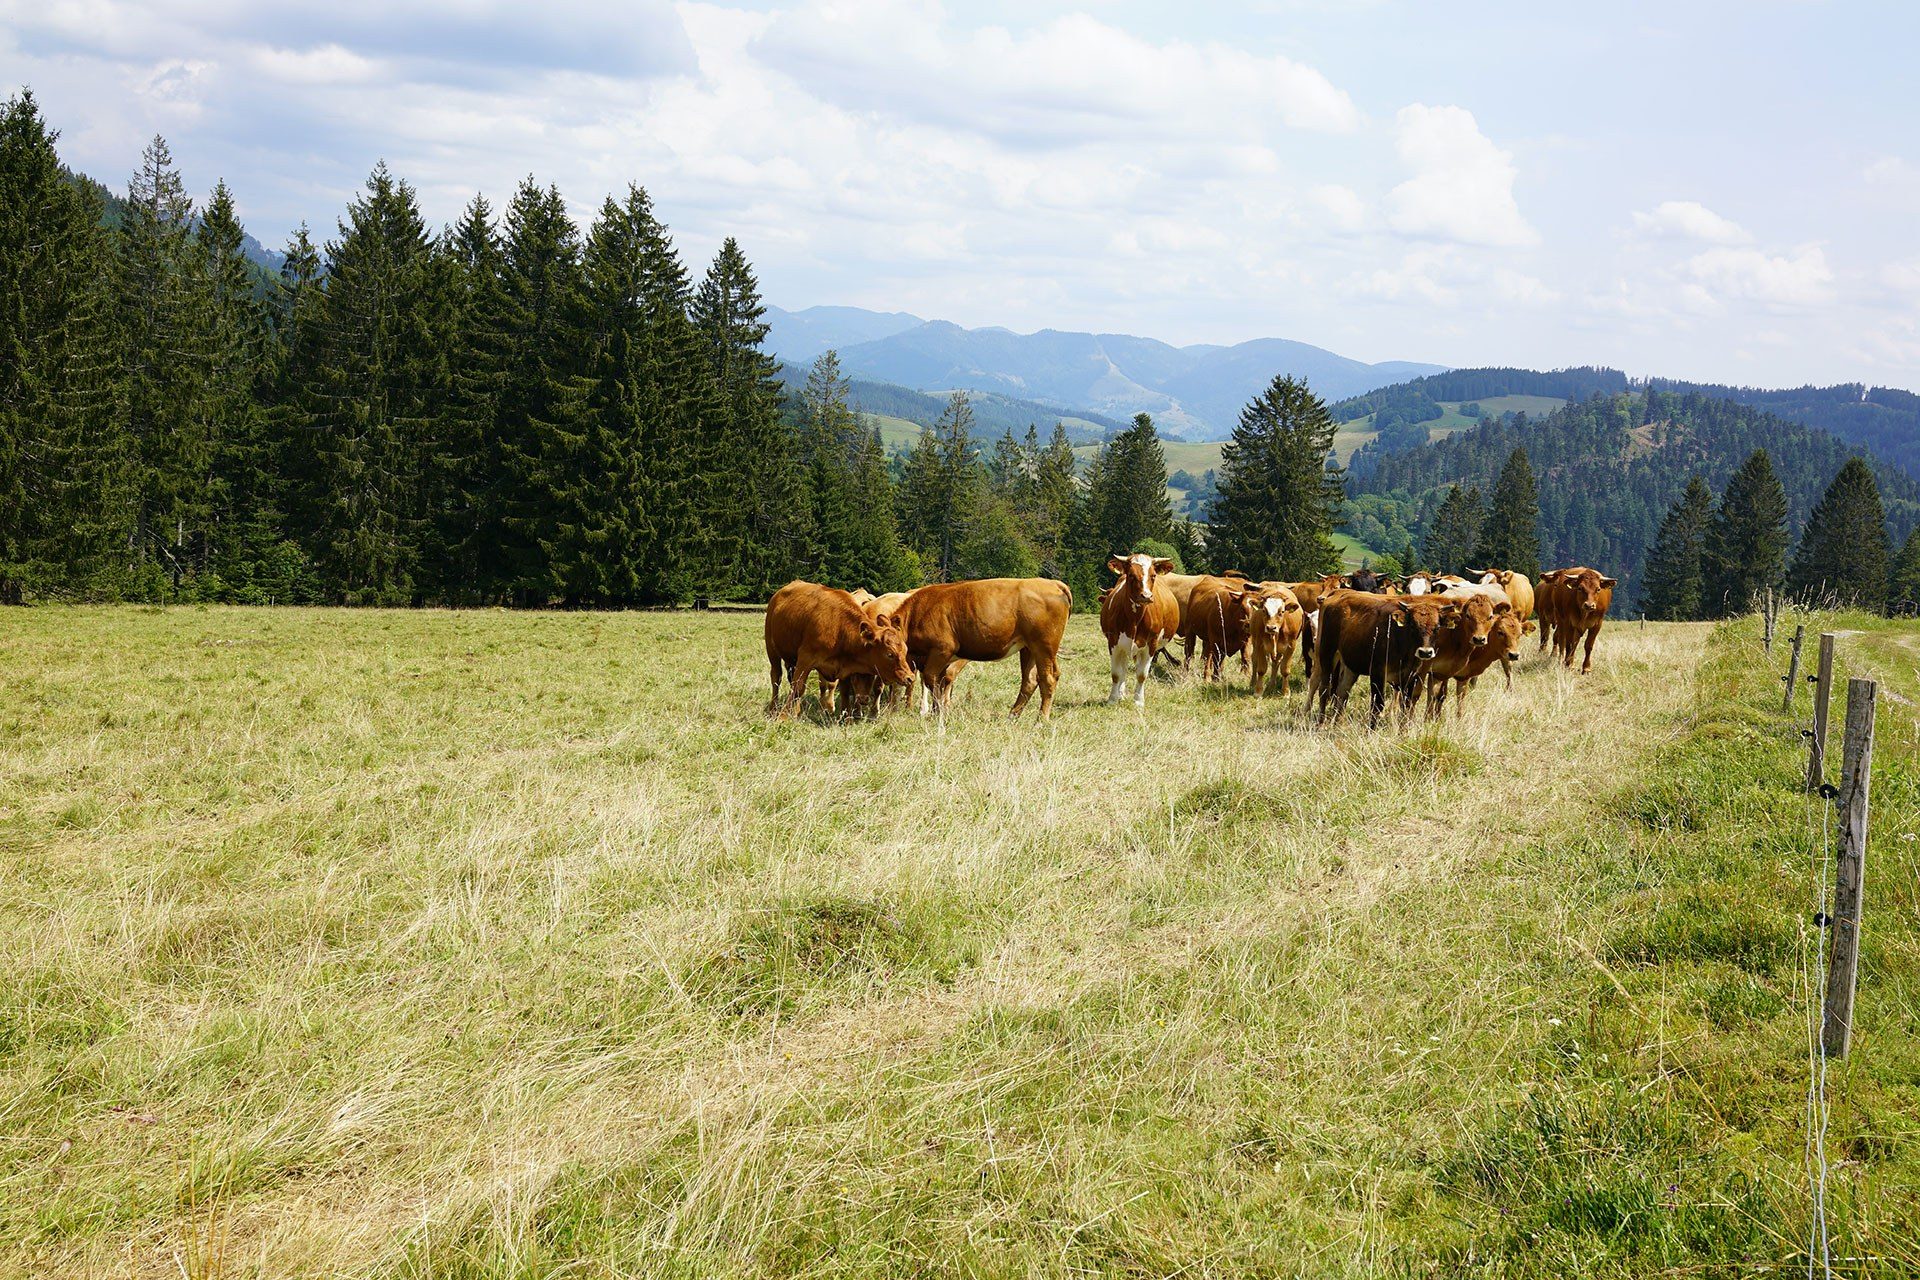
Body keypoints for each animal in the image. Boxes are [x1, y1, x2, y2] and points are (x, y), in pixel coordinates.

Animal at [764, 583, 913, 721]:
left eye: (905, 650)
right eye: (889, 654)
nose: (910, 677)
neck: (839, 629)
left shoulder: (845, 668)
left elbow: (845, 693)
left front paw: (846, 719)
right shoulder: (805, 659)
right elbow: (798, 688)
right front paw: (783, 716)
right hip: (772, 650)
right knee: (776, 678)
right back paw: (773, 708)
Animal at [887, 579, 1075, 721]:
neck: (916, 614)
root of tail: (1053, 583)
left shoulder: (941, 650)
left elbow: (932, 679)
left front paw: (939, 711)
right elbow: (940, 681)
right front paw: (937, 712)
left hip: (1044, 646)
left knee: (1048, 678)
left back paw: (1041, 720)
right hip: (1028, 648)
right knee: (1029, 680)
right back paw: (1012, 717)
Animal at [1105, 552, 1175, 706]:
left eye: (1153, 575)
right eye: (1131, 575)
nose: (1146, 596)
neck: (1134, 619)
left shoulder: (1151, 645)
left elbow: (1142, 674)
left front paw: (1138, 701)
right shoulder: (1113, 642)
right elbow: (1116, 674)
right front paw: (1113, 699)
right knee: (1123, 669)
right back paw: (1121, 694)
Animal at [1313, 587, 1459, 725]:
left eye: (1437, 627)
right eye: (1413, 626)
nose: (1425, 652)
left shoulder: (1412, 677)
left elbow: (1406, 706)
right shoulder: (1377, 673)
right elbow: (1377, 705)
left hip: (1351, 665)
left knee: (1342, 692)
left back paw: (1337, 724)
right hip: (1327, 655)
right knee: (1324, 690)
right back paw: (1320, 723)